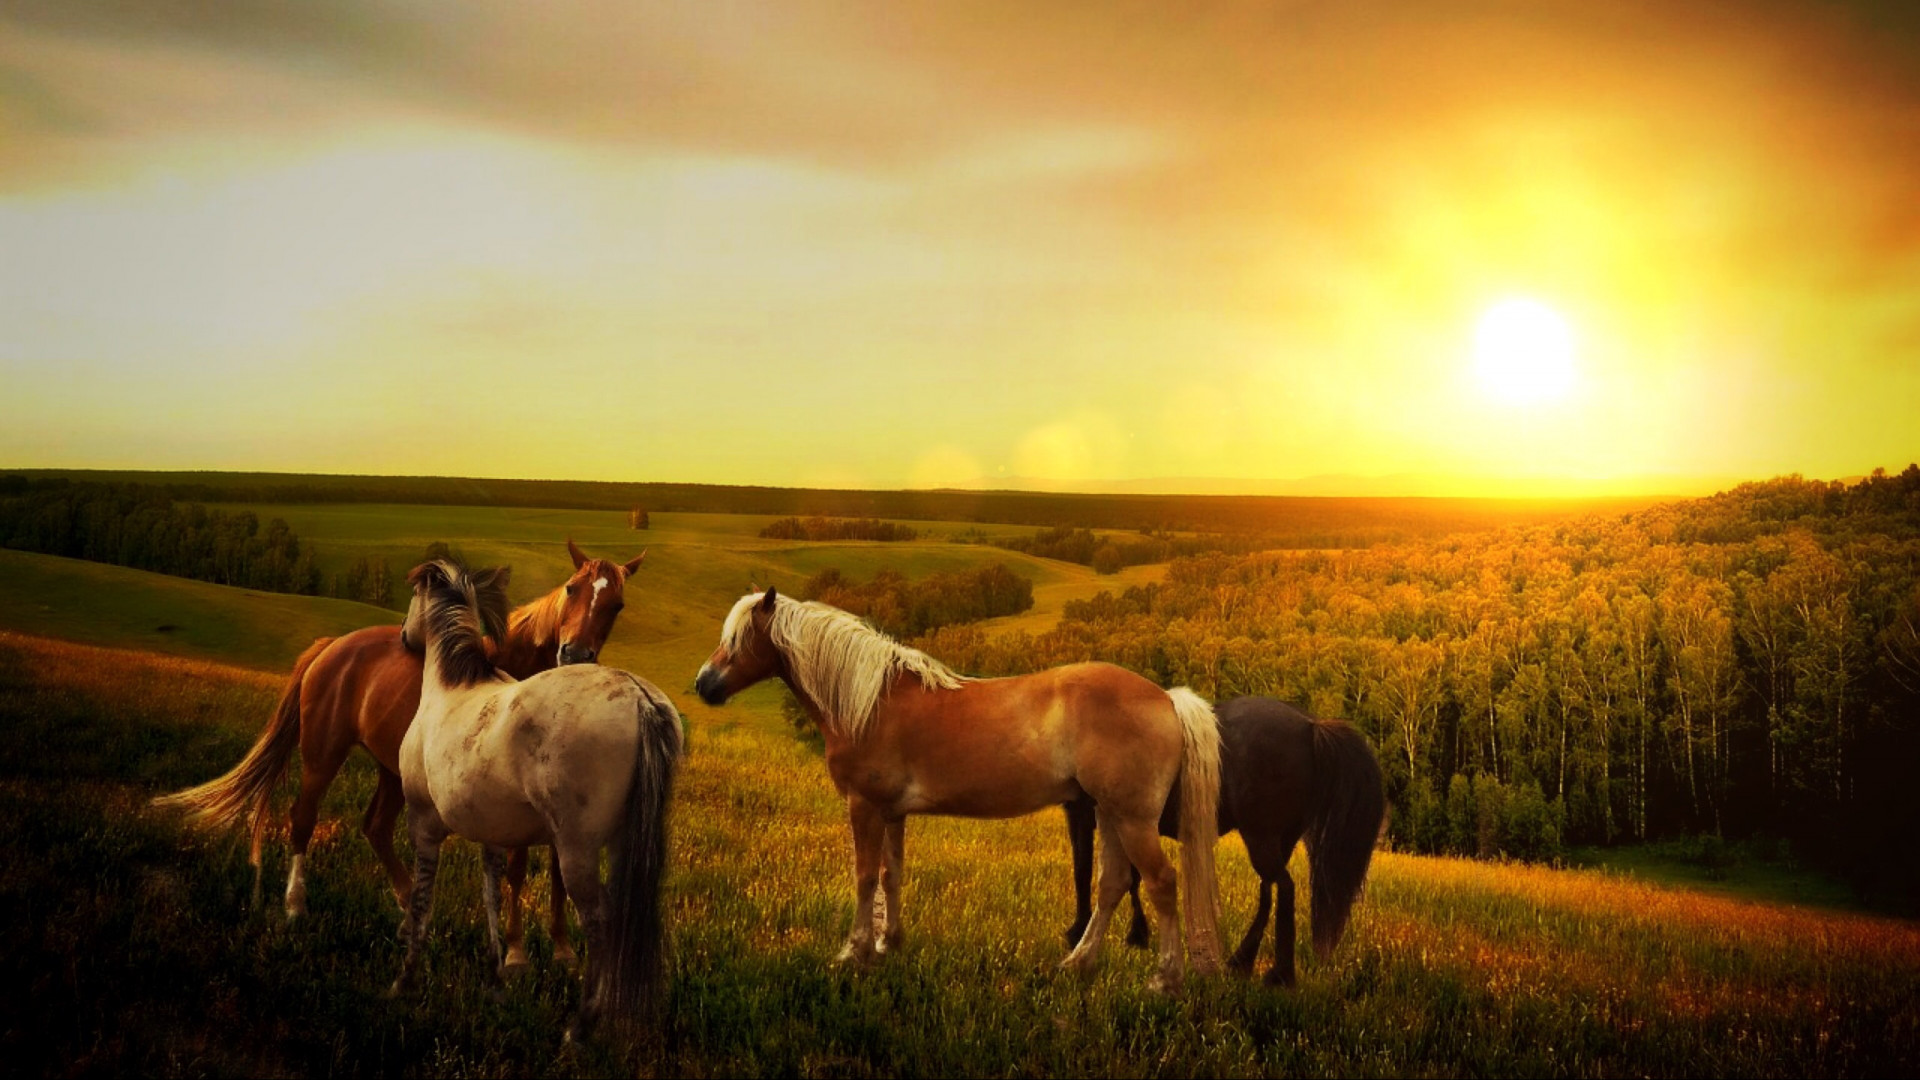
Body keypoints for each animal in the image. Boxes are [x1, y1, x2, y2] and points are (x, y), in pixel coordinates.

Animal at [156, 539, 644, 971]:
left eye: (617, 605)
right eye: (572, 589)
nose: (573, 654)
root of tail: (332, 645)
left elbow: (559, 869)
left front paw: (563, 951)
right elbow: (519, 867)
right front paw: (517, 954)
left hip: (391, 771)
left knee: (375, 827)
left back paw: (412, 913)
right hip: (322, 754)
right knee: (303, 818)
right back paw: (296, 906)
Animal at [392, 557, 681, 1041]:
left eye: (412, 596)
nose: (403, 636)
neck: (451, 688)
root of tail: (639, 699)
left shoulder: (425, 825)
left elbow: (420, 901)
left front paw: (405, 980)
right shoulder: (492, 836)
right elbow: (492, 895)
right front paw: (496, 977)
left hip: (578, 851)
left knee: (599, 921)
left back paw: (581, 1026)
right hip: (623, 844)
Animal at [694, 588, 1226, 992]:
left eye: (739, 639)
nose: (704, 684)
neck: (871, 702)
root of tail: (1165, 698)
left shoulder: (864, 807)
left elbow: (864, 877)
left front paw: (853, 952)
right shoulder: (892, 813)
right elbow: (891, 875)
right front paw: (888, 945)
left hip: (1133, 819)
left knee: (1162, 883)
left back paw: (1165, 979)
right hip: (1108, 813)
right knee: (1112, 885)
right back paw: (1078, 964)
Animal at [1062, 695, 1386, 986]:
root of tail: (1311, 726)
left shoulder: (1085, 815)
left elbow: (1085, 870)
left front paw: (1079, 932)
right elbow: (1130, 878)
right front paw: (1136, 934)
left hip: (1261, 837)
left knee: (1284, 887)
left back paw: (1279, 974)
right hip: (1277, 840)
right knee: (1268, 889)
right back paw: (1242, 961)